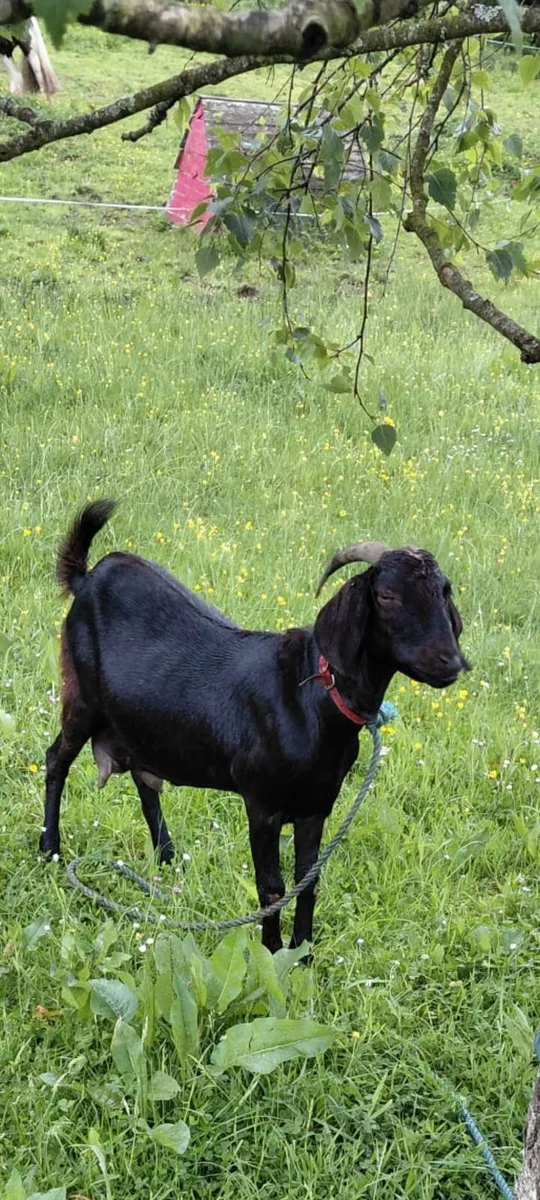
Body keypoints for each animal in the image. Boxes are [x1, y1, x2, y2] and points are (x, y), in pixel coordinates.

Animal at [41, 501, 468, 951]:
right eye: (386, 596)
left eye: (444, 592)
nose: (449, 661)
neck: (312, 700)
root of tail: (88, 578)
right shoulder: (262, 803)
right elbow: (272, 887)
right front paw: (272, 950)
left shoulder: (316, 805)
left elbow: (308, 881)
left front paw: (303, 953)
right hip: (82, 698)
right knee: (56, 760)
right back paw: (50, 848)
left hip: (138, 726)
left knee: (145, 780)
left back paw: (168, 856)